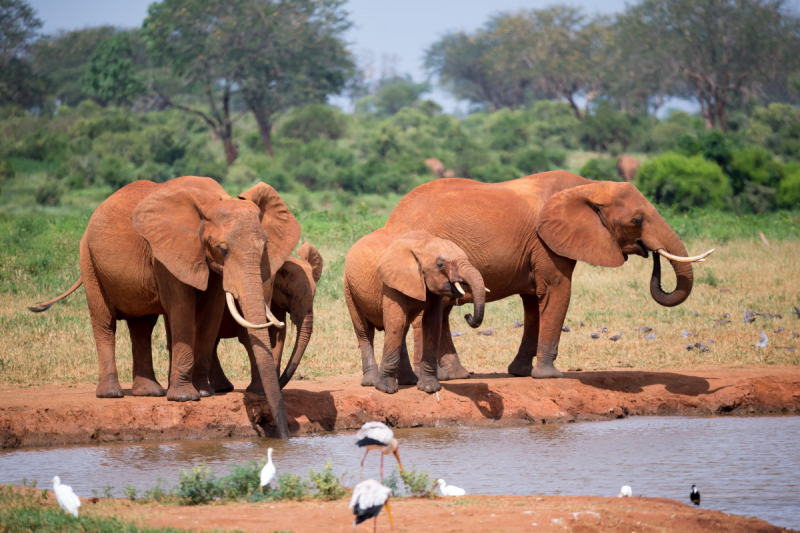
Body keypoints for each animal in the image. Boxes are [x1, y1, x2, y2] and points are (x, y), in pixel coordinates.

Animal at [27, 177, 300, 438]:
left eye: (265, 246)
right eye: (222, 249)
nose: (282, 435)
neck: (211, 202)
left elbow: (210, 313)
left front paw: (204, 392)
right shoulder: (168, 254)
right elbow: (182, 309)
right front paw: (185, 398)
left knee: (142, 326)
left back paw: (150, 392)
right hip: (89, 260)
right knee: (104, 322)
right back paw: (111, 394)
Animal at [208, 240, 324, 390]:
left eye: (315, 295)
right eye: (288, 294)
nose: (280, 384)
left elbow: (278, 335)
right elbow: (249, 336)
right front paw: (259, 390)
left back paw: (223, 388)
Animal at [342, 227, 484, 392]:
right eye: (440, 264)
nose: (468, 315)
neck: (423, 243)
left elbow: (432, 323)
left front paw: (430, 388)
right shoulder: (390, 283)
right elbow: (395, 322)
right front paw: (386, 390)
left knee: (402, 331)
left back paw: (409, 381)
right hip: (349, 288)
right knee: (365, 331)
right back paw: (371, 382)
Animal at [386, 170, 712, 378]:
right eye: (637, 220)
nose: (652, 253)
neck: (588, 186)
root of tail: (392, 219)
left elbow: (533, 304)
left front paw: (520, 372)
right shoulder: (546, 243)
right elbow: (557, 290)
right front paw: (551, 375)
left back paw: (451, 376)